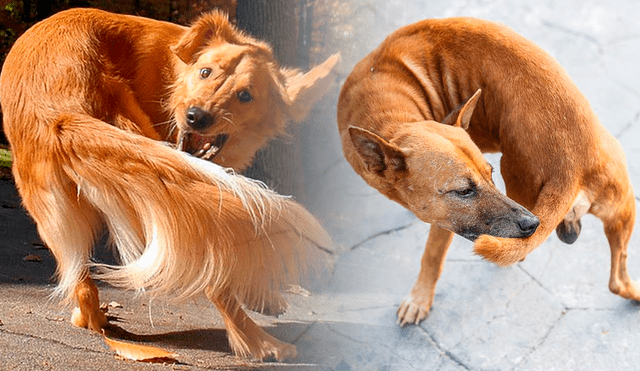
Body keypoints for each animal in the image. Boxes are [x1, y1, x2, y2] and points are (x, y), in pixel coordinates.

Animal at [1, 8, 340, 360]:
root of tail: (60, 105)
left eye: (245, 95)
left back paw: (90, 317)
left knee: (81, 282)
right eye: (205, 72)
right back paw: (258, 341)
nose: (196, 116)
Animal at [338, 16, 636, 326]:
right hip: (622, 209)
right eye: (464, 191)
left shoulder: (445, 223)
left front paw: (419, 299)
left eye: (489, 175)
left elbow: (431, 256)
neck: (388, 111)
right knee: (617, 280)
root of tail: (571, 162)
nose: (532, 224)